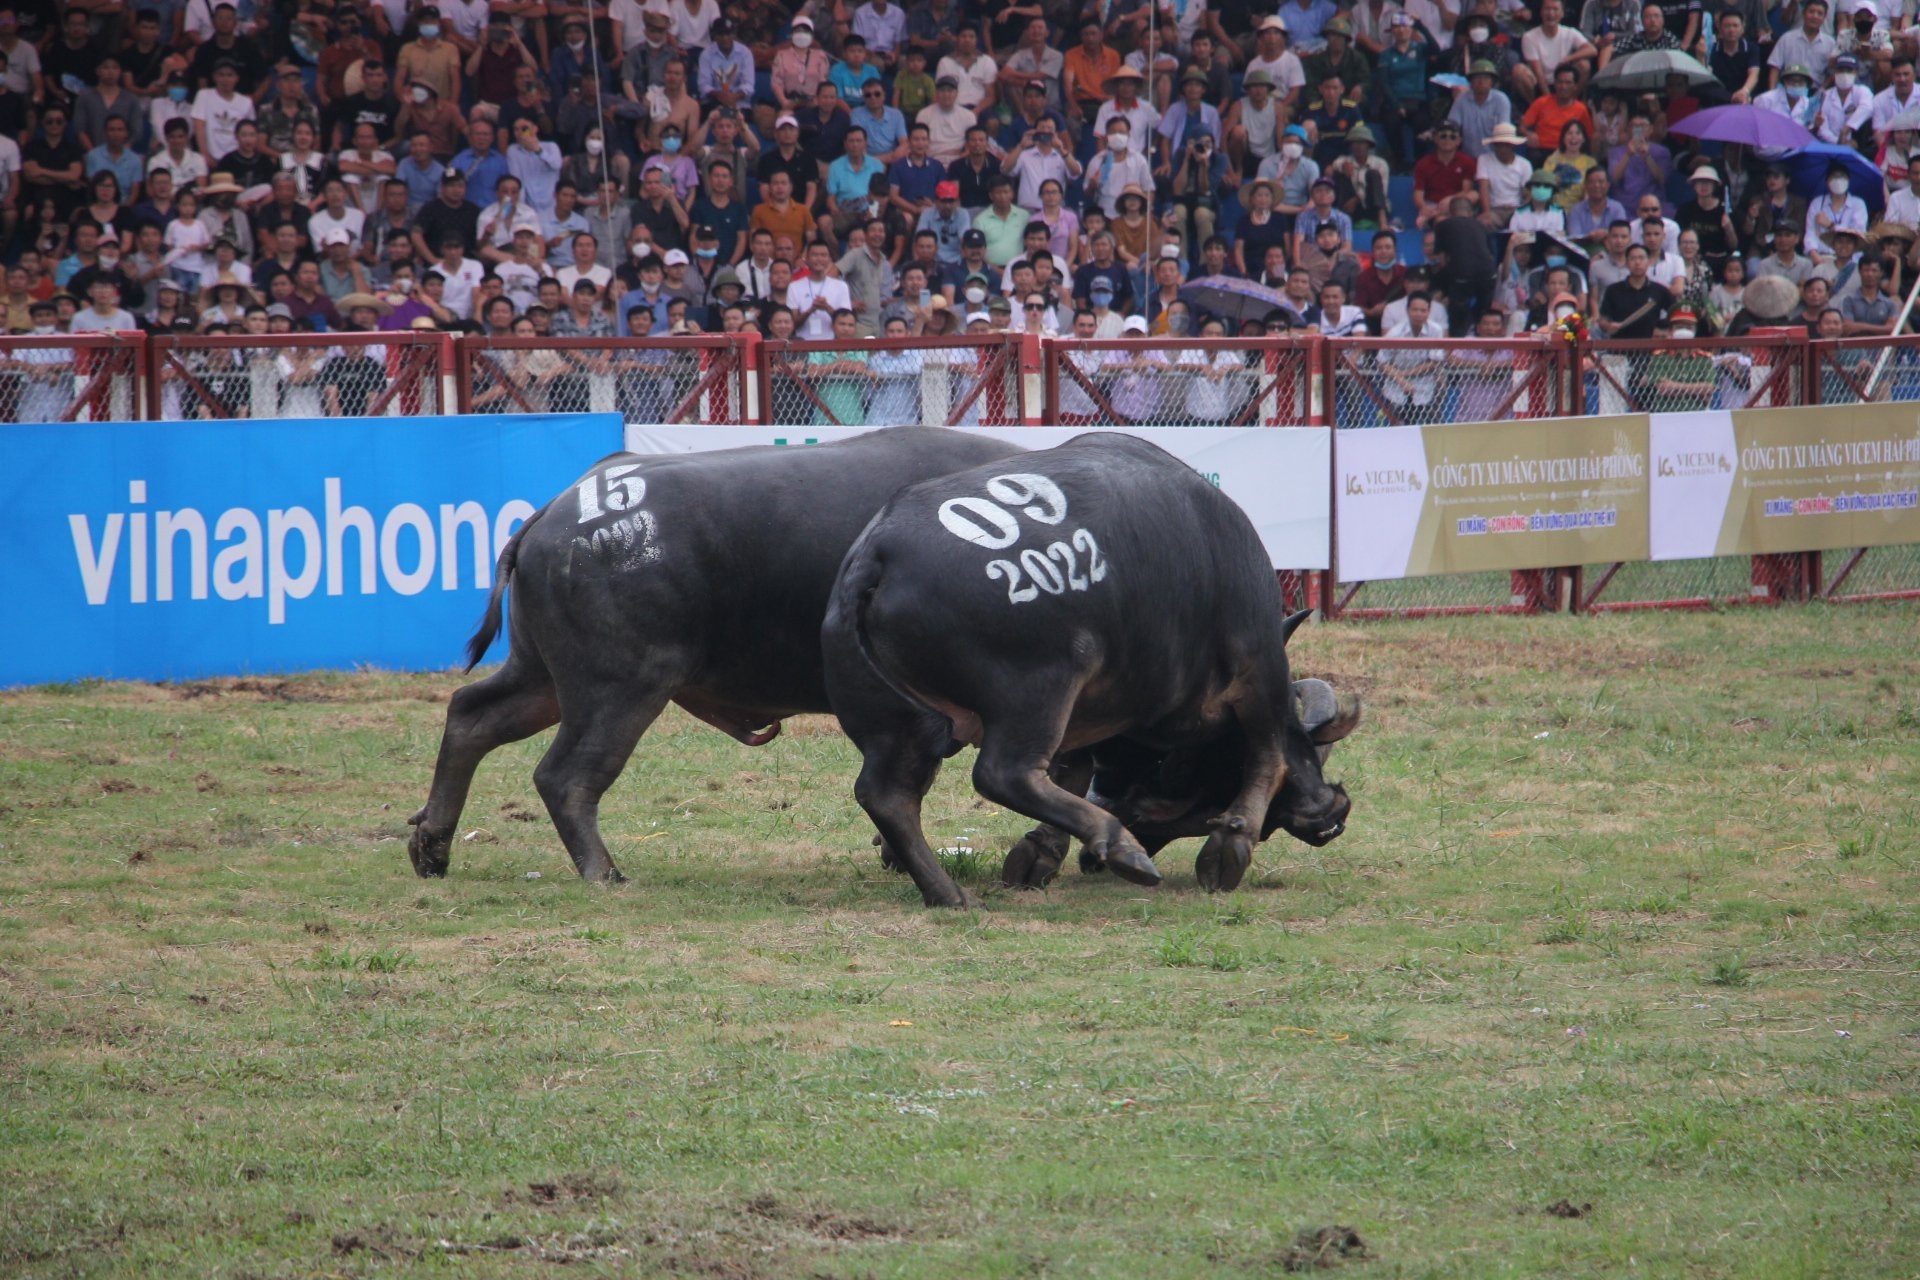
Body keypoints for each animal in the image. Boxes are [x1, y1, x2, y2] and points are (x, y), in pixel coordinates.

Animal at [408, 427, 1021, 882]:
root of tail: (556, 511)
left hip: (542, 677)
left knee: (471, 715)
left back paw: (432, 845)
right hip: (620, 687)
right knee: (565, 776)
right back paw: (604, 872)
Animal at [821, 429, 1351, 909]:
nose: (1330, 811)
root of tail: (877, 553)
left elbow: (1073, 770)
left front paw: (1039, 853)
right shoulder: (1258, 664)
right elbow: (1269, 754)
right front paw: (1230, 847)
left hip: (897, 721)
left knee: (887, 796)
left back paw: (948, 893)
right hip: (1039, 689)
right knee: (1002, 773)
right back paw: (1120, 847)